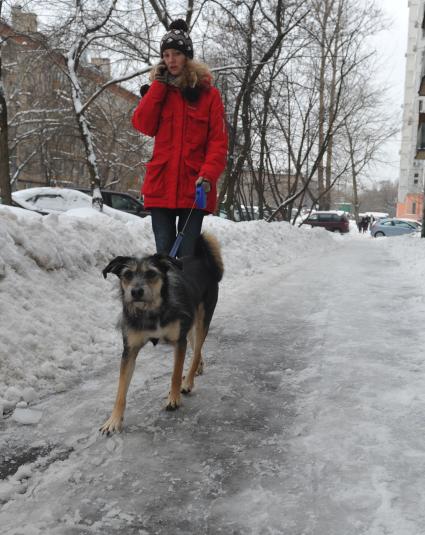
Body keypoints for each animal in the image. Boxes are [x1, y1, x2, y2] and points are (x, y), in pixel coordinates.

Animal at [99, 234, 222, 436]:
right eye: (127, 275)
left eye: (151, 273)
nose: (136, 292)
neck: (151, 311)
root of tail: (201, 259)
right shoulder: (129, 350)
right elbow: (121, 390)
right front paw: (113, 420)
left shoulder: (178, 341)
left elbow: (175, 373)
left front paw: (174, 398)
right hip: (189, 322)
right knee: (195, 346)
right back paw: (198, 368)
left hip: (203, 319)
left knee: (196, 351)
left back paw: (188, 382)